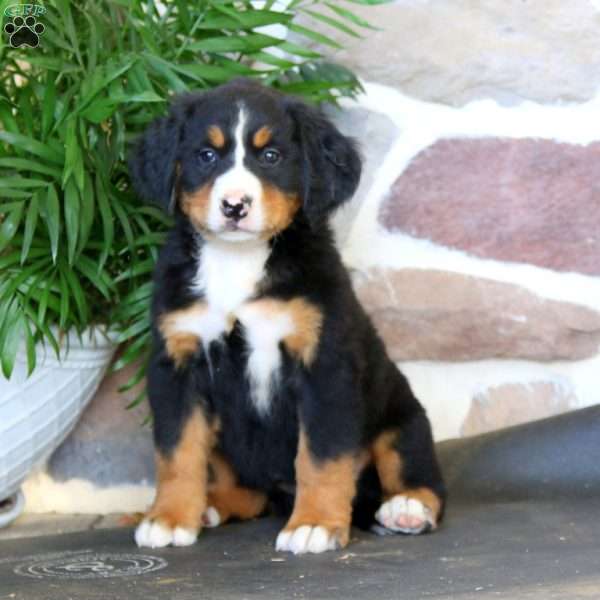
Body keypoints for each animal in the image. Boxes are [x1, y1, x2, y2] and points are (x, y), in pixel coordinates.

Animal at [129, 78, 442, 552]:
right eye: (206, 156)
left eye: (271, 156)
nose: (234, 205)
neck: (237, 260)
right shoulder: (177, 363)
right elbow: (177, 452)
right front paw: (169, 517)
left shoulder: (324, 365)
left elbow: (321, 457)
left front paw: (315, 524)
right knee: (246, 491)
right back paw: (212, 504)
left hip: (402, 417)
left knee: (417, 473)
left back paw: (407, 507)